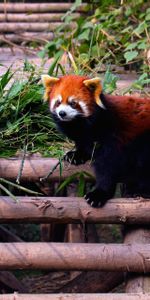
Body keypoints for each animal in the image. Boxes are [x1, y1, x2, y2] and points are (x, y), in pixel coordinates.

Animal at [41, 74, 150, 207]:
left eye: (73, 103)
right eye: (58, 102)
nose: (62, 113)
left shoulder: (112, 135)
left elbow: (108, 165)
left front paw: (99, 194)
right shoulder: (83, 136)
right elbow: (83, 145)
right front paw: (76, 155)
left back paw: (140, 191)